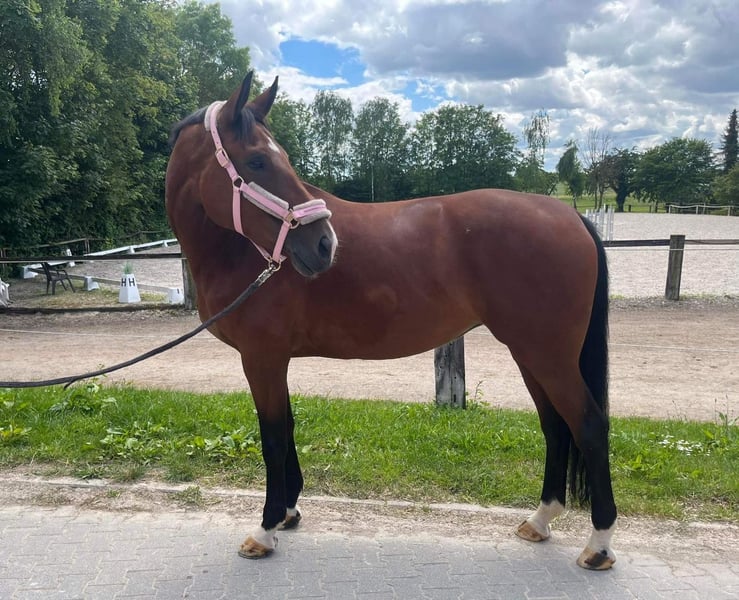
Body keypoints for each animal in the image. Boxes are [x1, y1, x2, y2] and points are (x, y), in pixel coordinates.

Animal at [166, 72, 617, 570]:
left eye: (276, 158)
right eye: (258, 160)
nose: (324, 244)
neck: (240, 252)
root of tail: (570, 215)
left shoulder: (262, 358)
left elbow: (273, 437)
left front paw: (265, 529)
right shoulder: (273, 360)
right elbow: (288, 426)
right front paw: (287, 512)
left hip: (548, 356)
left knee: (588, 425)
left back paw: (598, 544)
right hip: (530, 353)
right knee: (555, 426)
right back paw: (540, 520)